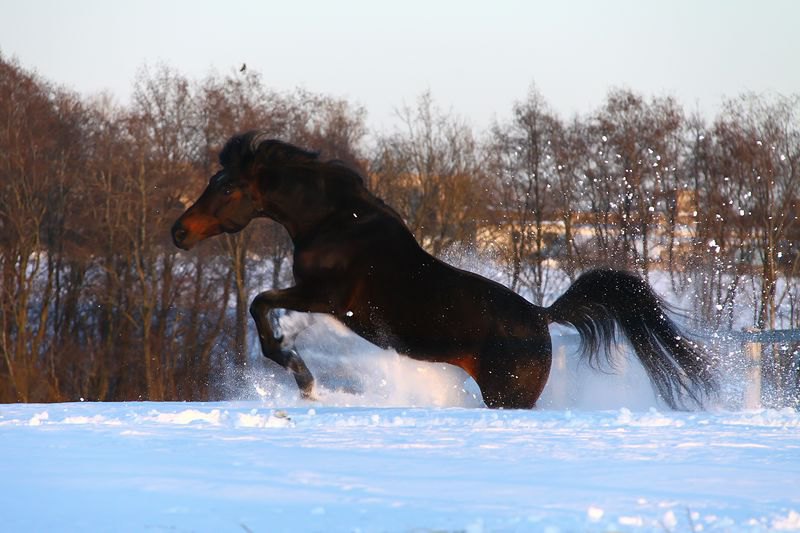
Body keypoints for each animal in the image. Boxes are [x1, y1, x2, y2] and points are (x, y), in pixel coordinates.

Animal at [170, 132, 720, 408]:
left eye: (227, 187)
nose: (179, 231)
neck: (333, 223)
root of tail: (542, 317)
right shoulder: (318, 300)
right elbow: (267, 310)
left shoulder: (326, 297)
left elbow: (260, 306)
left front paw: (303, 378)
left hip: (507, 395)